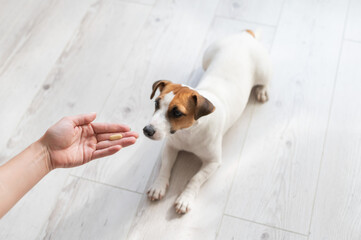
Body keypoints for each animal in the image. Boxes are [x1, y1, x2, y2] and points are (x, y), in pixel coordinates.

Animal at [142, 30, 268, 214]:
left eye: (177, 112)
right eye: (156, 103)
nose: (147, 130)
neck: (189, 132)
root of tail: (244, 34)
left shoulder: (213, 162)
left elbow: (196, 178)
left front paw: (185, 199)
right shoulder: (170, 147)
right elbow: (165, 166)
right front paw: (158, 185)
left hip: (264, 71)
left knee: (265, 82)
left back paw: (262, 91)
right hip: (206, 57)